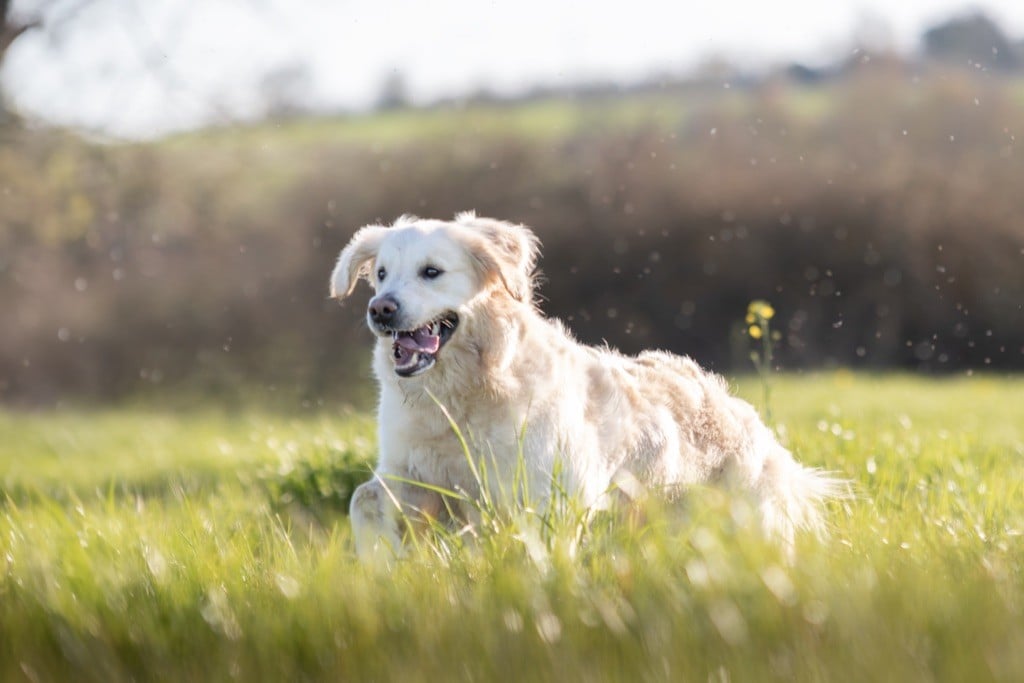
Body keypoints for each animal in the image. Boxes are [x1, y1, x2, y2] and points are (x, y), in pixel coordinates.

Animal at [331, 211, 843, 561]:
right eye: (381, 274)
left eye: (431, 272)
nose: (381, 309)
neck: (460, 397)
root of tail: (742, 411)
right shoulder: (414, 474)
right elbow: (363, 499)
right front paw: (382, 564)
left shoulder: (545, 492)